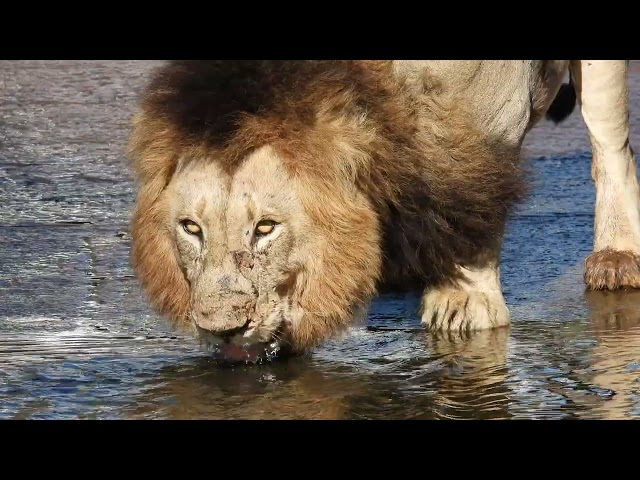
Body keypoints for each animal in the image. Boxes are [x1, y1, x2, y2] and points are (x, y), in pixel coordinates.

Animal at [127, 60, 639, 362]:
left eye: (266, 227)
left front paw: (462, 303)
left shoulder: (488, 99)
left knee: (608, 142)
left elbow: (474, 187)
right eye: (191, 228)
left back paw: (616, 257)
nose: (223, 328)